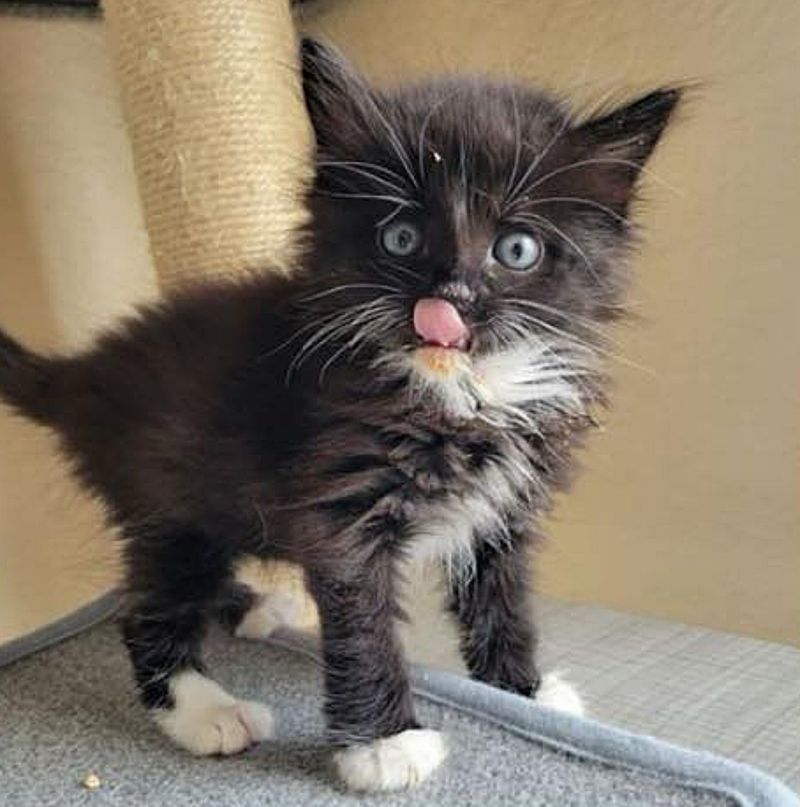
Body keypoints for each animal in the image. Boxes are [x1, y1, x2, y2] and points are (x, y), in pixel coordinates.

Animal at [0, 39, 680, 796]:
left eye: (516, 249)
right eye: (401, 237)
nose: (449, 297)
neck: (463, 393)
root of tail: (87, 372)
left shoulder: (503, 511)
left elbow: (502, 599)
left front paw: (524, 691)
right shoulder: (344, 505)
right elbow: (363, 623)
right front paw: (385, 744)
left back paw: (250, 609)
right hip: (165, 494)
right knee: (145, 607)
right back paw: (207, 710)